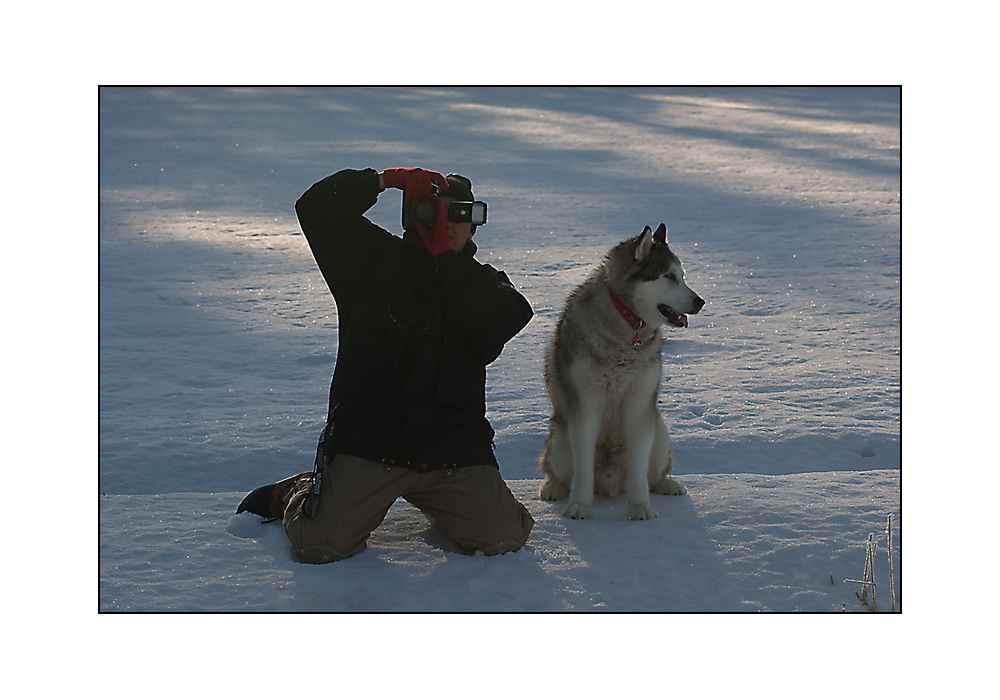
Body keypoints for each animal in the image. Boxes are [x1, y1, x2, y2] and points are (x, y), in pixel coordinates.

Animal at [540, 224, 704, 520]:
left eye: (682, 276)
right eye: (669, 276)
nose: (700, 302)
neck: (626, 327)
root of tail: (609, 480)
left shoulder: (640, 408)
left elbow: (639, 470)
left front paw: (640, 506)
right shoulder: (585, 408)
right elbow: (582, 469)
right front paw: (580, 505)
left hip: (659, 434)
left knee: (653, 474)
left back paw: (667, 484)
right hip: (559, 441)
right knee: (556, 470)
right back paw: (553, 487)